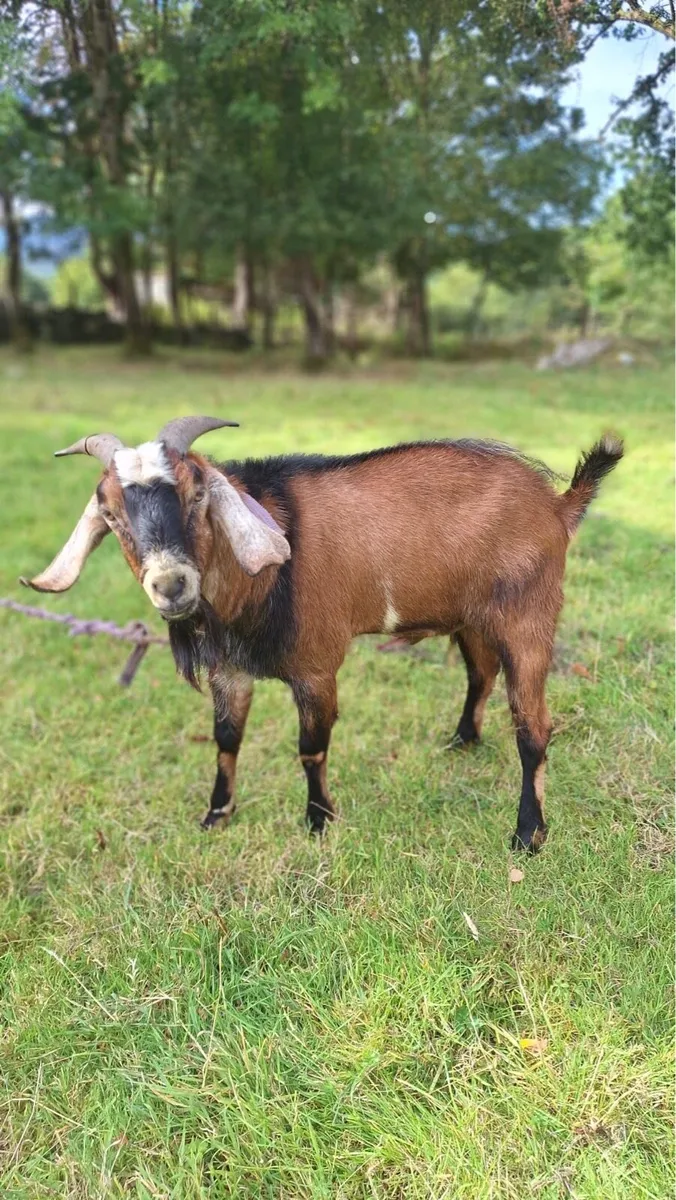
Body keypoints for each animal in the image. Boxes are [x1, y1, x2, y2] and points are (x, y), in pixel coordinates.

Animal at [22, 416, 623, 852]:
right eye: (110, 514)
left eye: (197, 495)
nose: (171, 584)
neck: (253, 585)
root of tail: (557, 505)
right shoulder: (229, 670)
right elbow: (226, 740)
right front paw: (217, 814)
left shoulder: (315, 666)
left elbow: (311, 748)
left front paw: (318, 820)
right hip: (473, 617)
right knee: (481, 674)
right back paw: (462, 741)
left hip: (528, 614)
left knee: (533, 727)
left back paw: (527, 833)